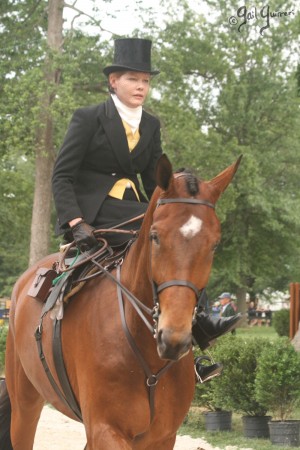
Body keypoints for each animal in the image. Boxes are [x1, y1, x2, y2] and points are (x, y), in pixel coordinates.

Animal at [0, 153, 239, 448]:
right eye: (155, 236)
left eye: (214, 244)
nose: (173, 338)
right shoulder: (106, 430)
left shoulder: (162, 436)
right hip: (25, 405)